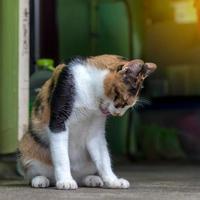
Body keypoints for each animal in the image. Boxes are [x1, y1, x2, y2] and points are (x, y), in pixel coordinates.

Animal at [18, 54, 156, 189]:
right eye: (122, 101)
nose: (118, 114)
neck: (91, 91)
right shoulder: (59, 119)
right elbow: (62, 157)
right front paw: (66, 181)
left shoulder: (96, 131)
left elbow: (104, 159)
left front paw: (113, 181)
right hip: (27, 146)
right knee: (32, 175)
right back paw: (41, 180)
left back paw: (92, 179)